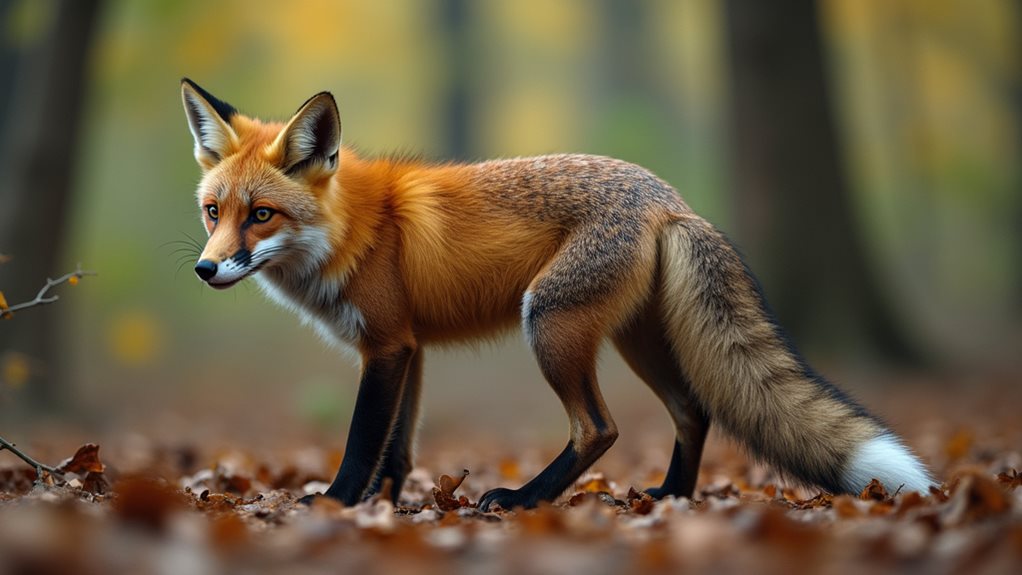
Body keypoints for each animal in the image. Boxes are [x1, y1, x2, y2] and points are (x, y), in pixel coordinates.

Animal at [180, 78, 933, 511]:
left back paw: (523, 499)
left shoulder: (387, 347)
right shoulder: (406, 348)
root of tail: (672, 199)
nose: (206, 270)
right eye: (214, 212)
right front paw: (386, 509)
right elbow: (398, 450)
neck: (356, 230)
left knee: (599, 427)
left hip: (548, 322)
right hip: (636, 339)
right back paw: (670, 497)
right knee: (691, 410)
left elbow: (363, 439)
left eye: (262, 215)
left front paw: (337, 503)